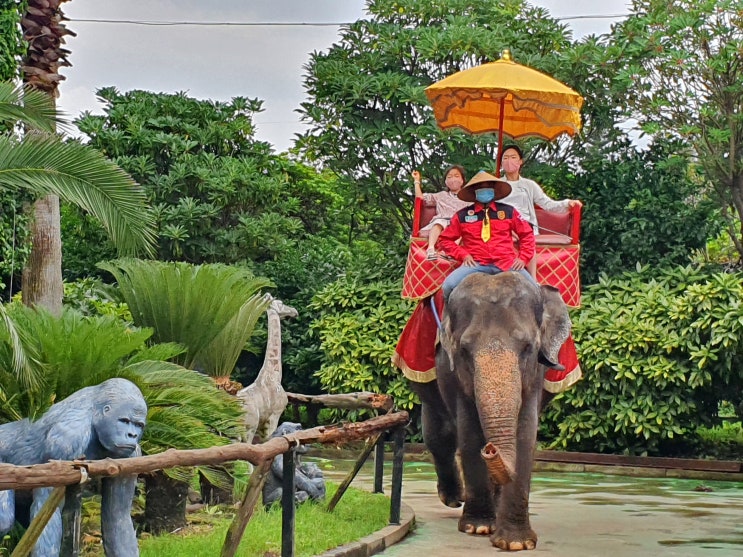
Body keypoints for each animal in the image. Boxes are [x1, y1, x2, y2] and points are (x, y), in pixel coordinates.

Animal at [410, 272, 572, 548]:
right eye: (464, 350)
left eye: (528, 348)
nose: (491, 449)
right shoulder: (454, 373)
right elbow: (469, 432)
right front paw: (478, 528)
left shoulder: (536, 374)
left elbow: (525, 435)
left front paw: (516, 543)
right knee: (439, 434)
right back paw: (454, 498)